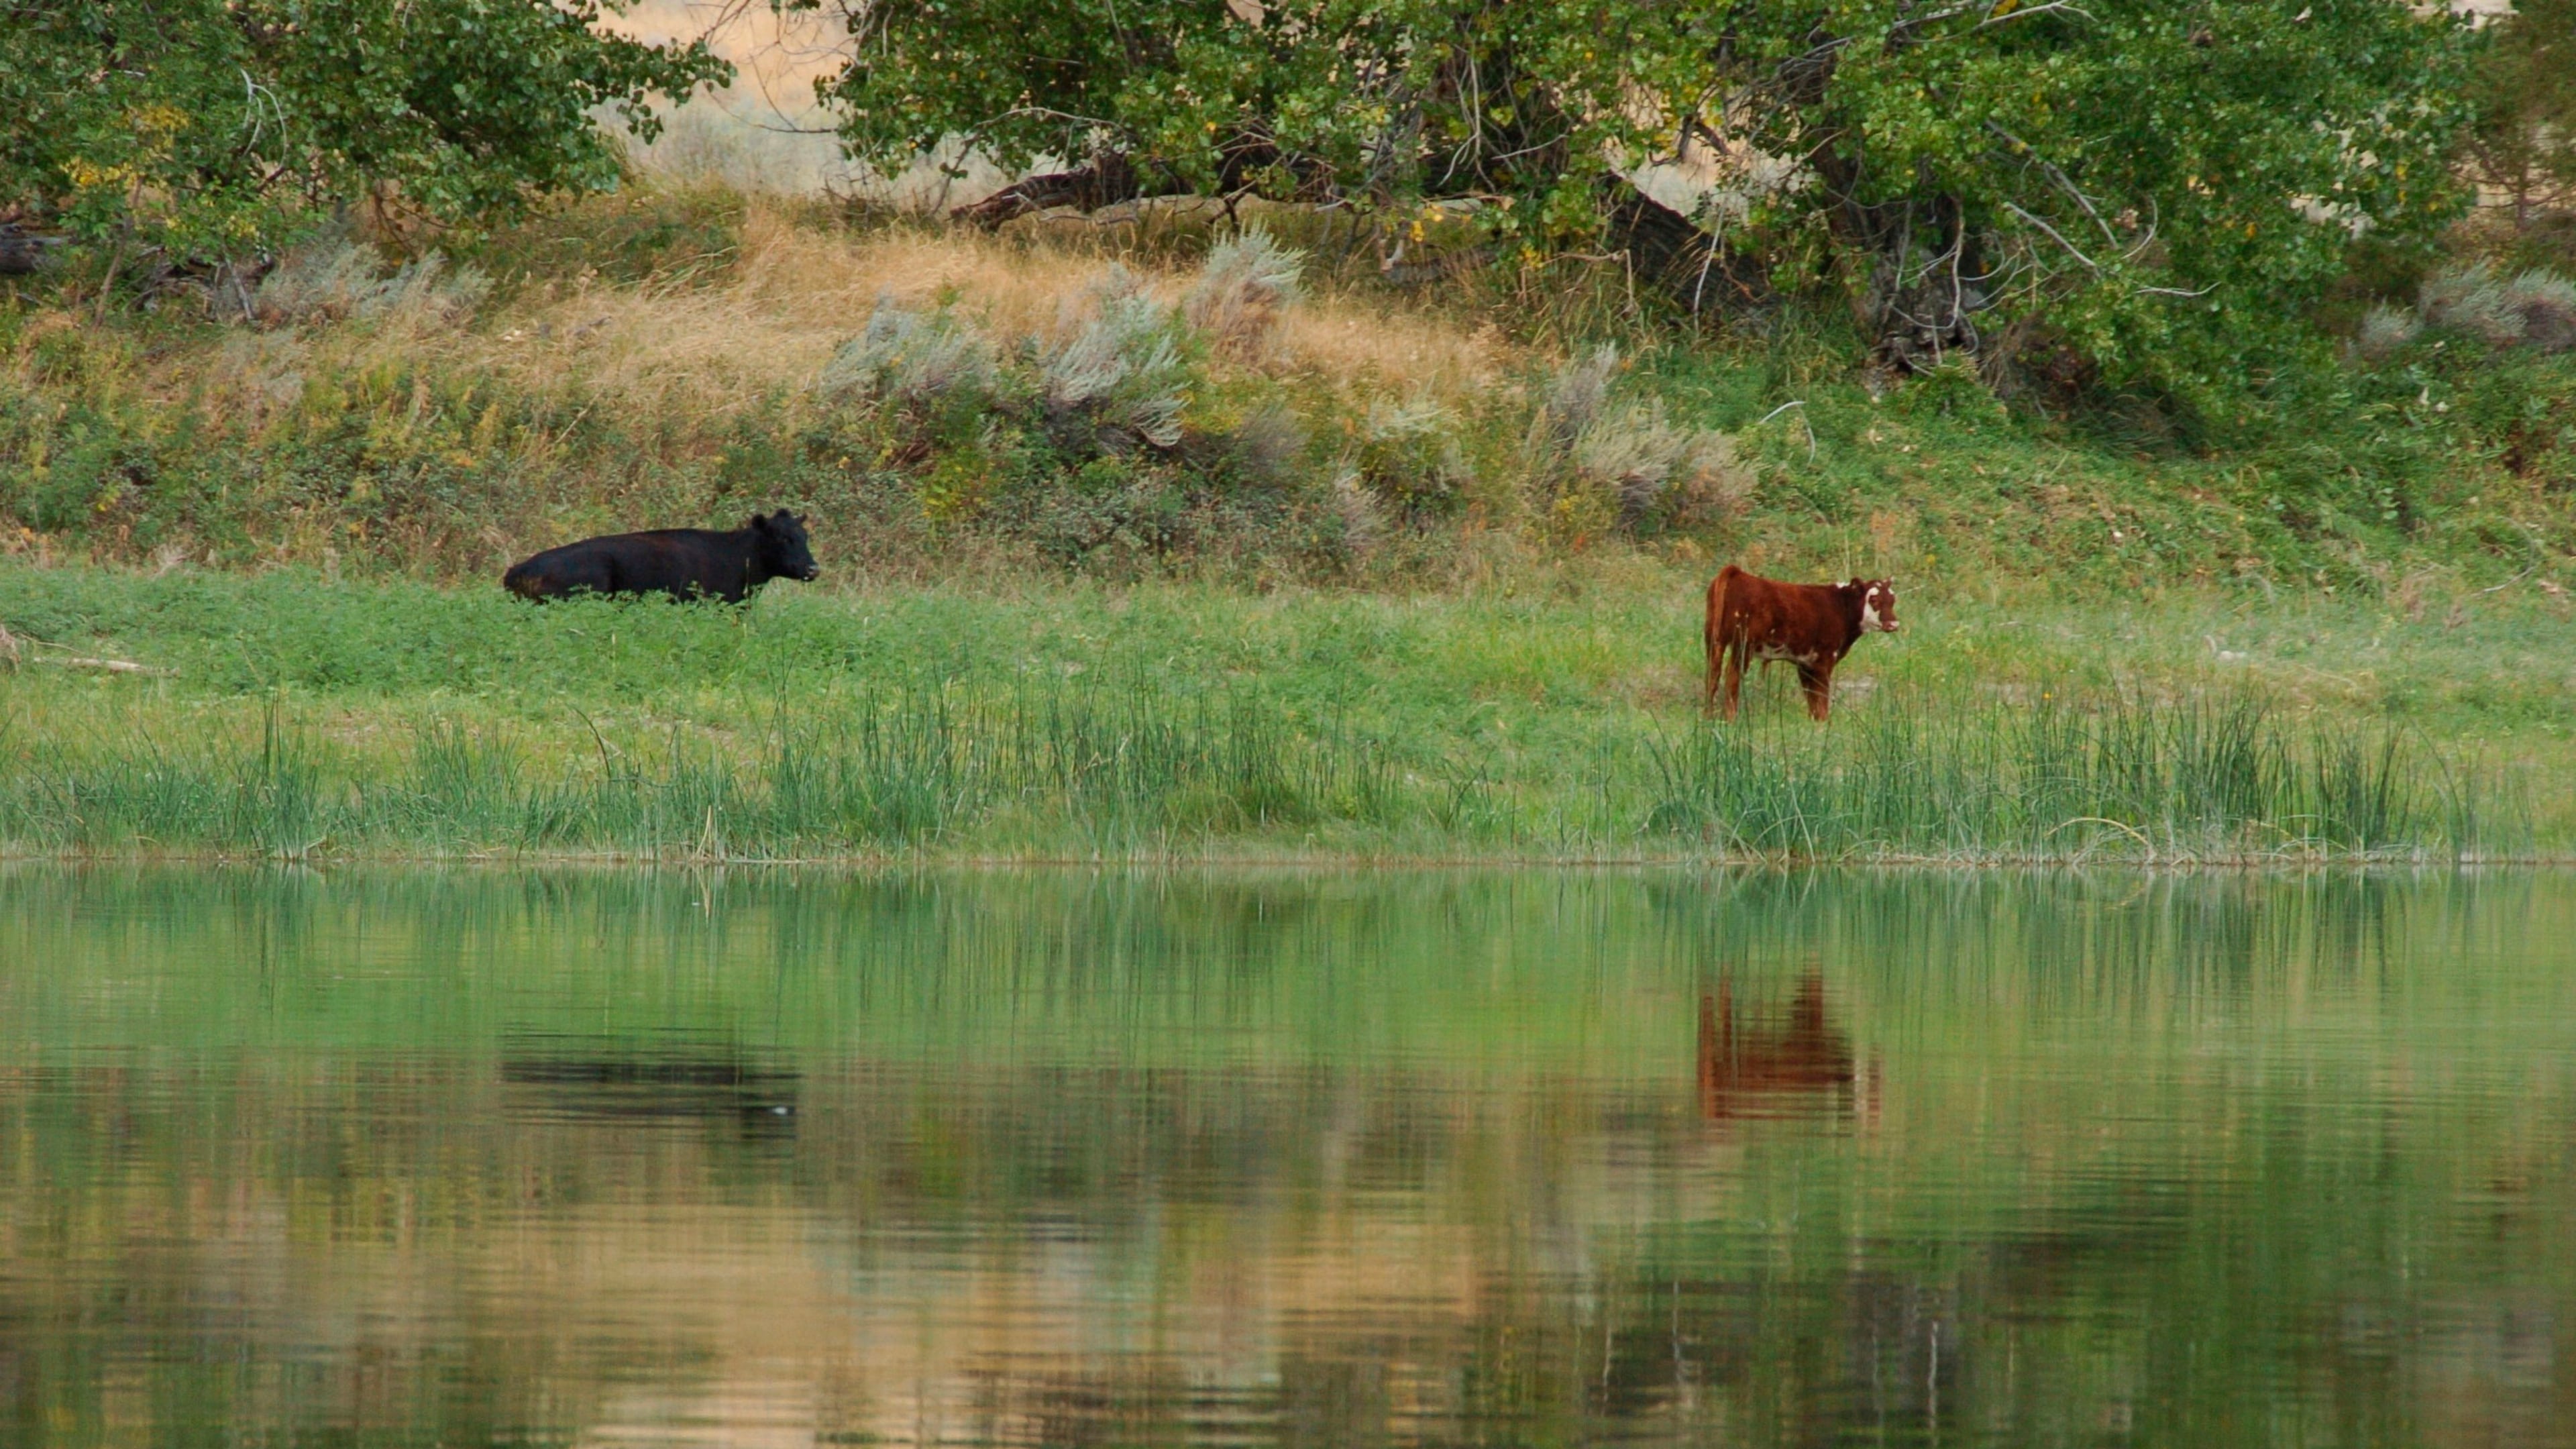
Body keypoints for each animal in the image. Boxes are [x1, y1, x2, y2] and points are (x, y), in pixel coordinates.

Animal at [1702, 565, 1899, 721]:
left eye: (1893, 600)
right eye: (1874, 600)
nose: (1893, 624)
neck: (1840, 607)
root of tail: (1736, 572)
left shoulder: (1806, 663)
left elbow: (1812, 697)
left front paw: (1815, 721)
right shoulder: (1825, 658)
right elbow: (1821, 696)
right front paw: (1824, 722)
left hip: (1714, 640)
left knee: (1713, 675)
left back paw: (1709, 716)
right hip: (1743, 645)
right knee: (1732, 676)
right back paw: (1731, 718)